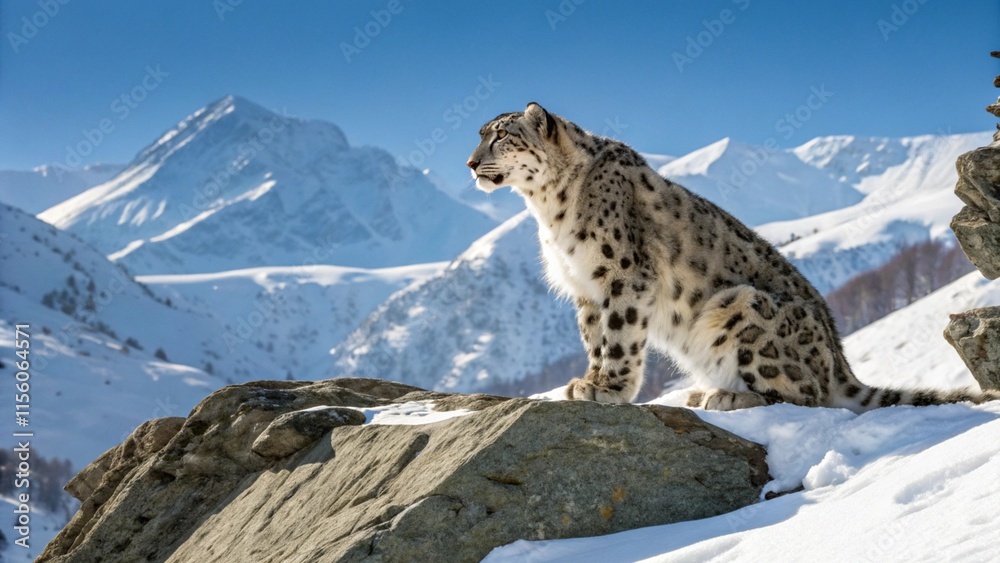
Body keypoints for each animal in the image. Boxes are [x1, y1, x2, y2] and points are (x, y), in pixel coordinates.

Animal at [466, 102, 999, 412]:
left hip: (740, 306)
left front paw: (608, 389)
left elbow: (619, 338)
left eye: (502, 135)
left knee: (808, 396)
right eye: (481, 133)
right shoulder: (585, 288)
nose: (470, 163)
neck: (549, 209)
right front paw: (588, 380)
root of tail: (840, 362)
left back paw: (724, 395)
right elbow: (596, 340)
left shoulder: (624, 275)